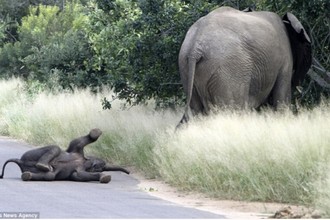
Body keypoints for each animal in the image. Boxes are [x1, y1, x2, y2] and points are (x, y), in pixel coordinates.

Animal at [0, 128, 130, 183]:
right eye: (102, 165)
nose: (129, 172)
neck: (85, 161)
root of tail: (20, 161)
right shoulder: (76, 148)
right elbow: (79, 141)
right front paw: (96, 132)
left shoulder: (77, 172)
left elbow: (81, 175)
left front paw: (105, 177)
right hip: (30, 154)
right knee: (55, 148)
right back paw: (44, 165)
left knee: (50, 176)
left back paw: (28, 175)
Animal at [177, 6, 310, 124]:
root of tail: (195, 48)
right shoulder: (285, 59)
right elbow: (282, 98)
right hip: (229, 69)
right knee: (234, 108)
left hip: (185, 66)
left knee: (197, 110)